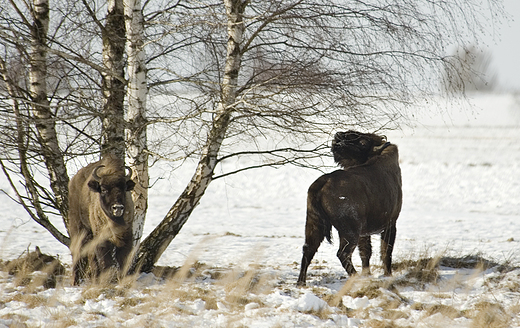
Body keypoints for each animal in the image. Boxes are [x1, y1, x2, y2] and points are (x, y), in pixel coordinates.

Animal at [68, 154, 135, 284]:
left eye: (124, 189)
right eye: (103, 189)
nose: (117, 208)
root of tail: (73, 181)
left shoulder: (127, 238)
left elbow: (123, 263)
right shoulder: (102, 241)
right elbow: (105, 263)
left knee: (91, 258)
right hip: (78, 228)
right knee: (77, 253)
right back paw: (75, 282)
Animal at [296, 130, 402, 284]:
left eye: (363, 142)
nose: (338, 137)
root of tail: (323, 182)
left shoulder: (365, 231)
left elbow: (366, 252)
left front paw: (367, 273)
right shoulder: (390, 224)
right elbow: (385, 251)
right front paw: (387, 275)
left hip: (314, 223)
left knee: (308, 249)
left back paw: (301, 283)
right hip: (349, 232)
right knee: (342, 254)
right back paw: (355, 276)